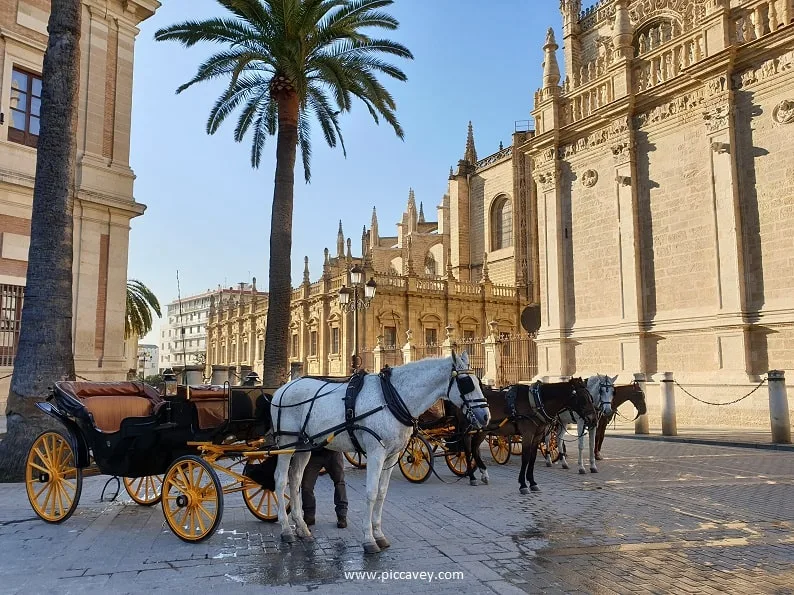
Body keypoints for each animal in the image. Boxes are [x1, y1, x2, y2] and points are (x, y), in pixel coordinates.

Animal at [270, 354, 486, 556]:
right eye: (466, 383)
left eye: (479, 381)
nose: (485, 416)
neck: (391, 398)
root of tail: (282, 389)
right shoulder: (376, 453)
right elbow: (371, 493)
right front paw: (368, 539)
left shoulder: (391, 456)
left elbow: (381, 493)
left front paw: (379, 535)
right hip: (287, 444)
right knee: (280, 480)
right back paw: (286, 529)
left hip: (304, 446)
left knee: (295, 479)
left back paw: (301, 527)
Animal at [458, 382, 592, 494]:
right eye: (583, 399)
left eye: (590, 398)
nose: (592, 418)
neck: (536, 403)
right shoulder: (528, 434)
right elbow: (526, 457)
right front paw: (523, 484)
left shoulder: (537, 436)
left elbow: (532, 458)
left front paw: (532, 483)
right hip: (469, 430)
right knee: (467, 449)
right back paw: (472, 476)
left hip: (482, 431)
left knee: (474, 448)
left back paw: (482, 473)